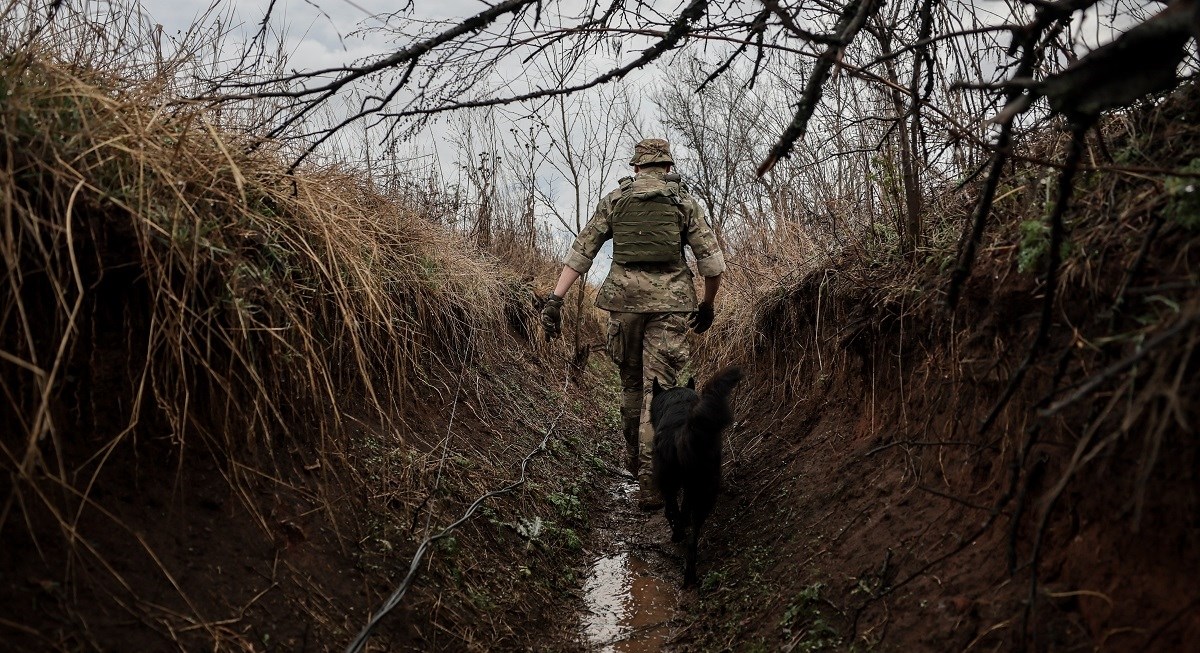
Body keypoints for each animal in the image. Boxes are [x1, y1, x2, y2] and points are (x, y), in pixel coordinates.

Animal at [652, 367, 744, 585]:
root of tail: (686, 431)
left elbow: (674, 510)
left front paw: (677, 530)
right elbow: (685, 509)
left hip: (671, 481)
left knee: (673, 512)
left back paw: (677, 537)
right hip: (705, 486)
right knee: (693, 535)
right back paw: (690, 576)